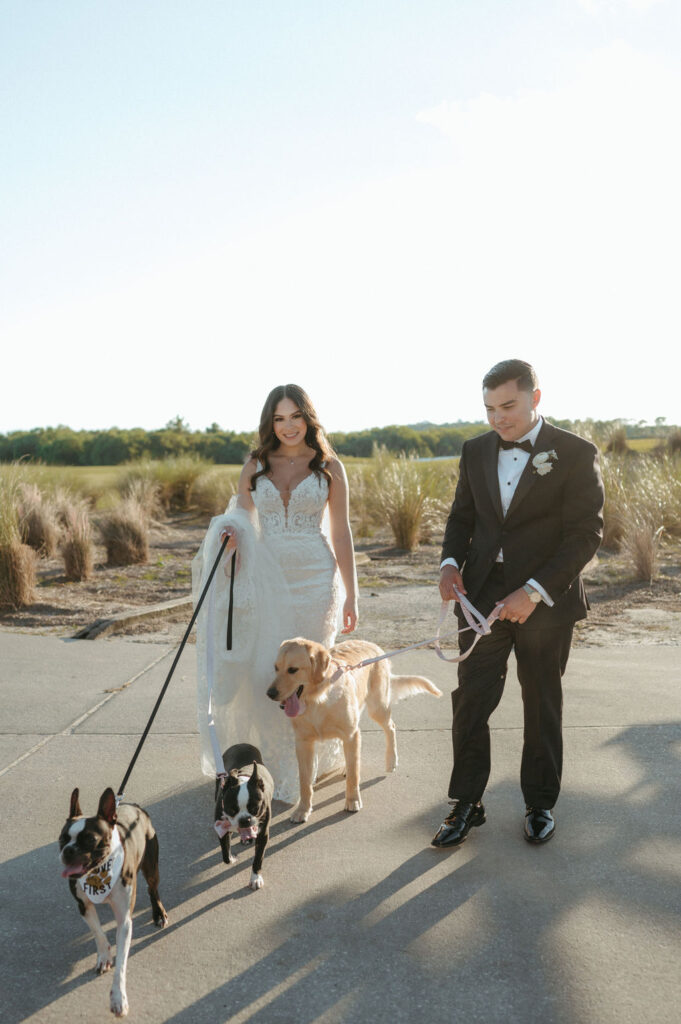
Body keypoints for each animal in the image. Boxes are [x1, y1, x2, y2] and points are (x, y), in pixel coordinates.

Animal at [59, 786, 168, 1011]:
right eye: (62, 839)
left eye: (90, 840)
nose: (68, 850)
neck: (97, 873)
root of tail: (133, 805)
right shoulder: (84, 906)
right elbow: (98, 933)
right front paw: (104, 957)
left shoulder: (124, 919)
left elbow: (121, 964)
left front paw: (118, 997)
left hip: (151, 866)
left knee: (153, 889)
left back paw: (159, 914)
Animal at [215, 745, 274, 888]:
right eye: (231, 809)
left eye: (255, 808)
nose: (245, 820)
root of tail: (242, 744)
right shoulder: (221, 828)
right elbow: (225, 855)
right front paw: (231, 858)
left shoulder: (263, 835)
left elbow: (258, 859)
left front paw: (255, 878)